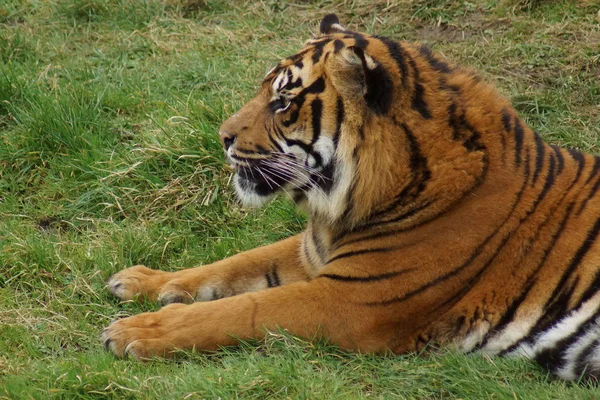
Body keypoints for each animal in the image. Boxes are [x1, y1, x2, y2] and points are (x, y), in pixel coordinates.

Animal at [101, 13, 600, 382]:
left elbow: (241, 308)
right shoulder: (313, 252)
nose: (222, 137)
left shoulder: (349, 302)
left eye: (283, 103)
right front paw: (140, 280)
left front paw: (135, 331)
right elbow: (233, 264)